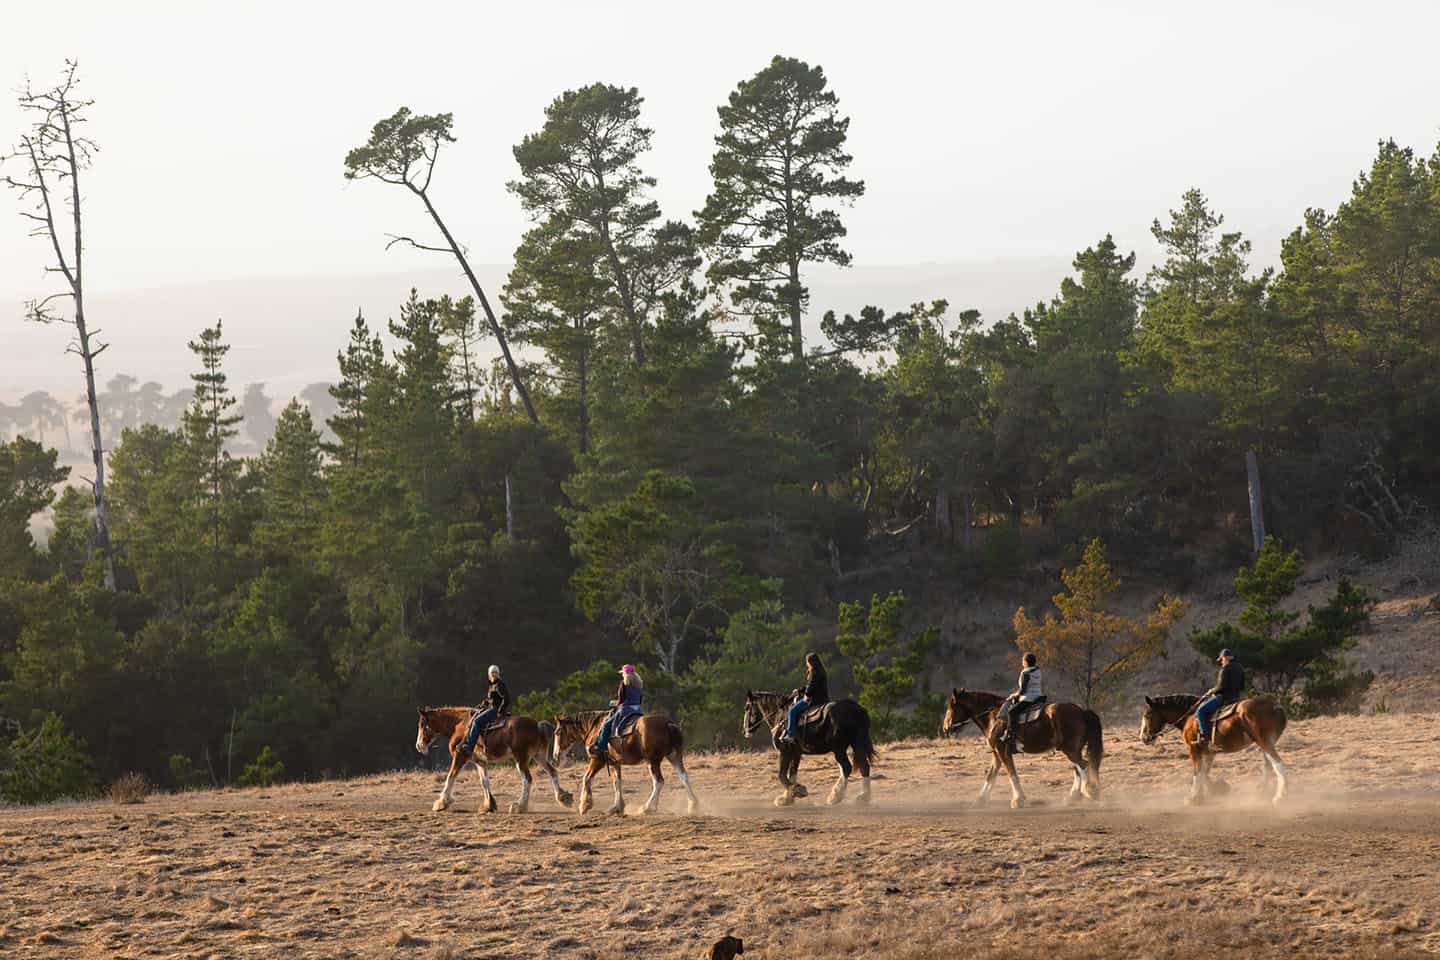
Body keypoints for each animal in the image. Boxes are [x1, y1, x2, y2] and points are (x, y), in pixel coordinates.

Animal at [414, 711, 570, 817]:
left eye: (422, 725)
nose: (419, 746)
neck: (460, 727)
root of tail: (537, 725)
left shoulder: (460, 756)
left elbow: (450, 777)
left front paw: (441, 803)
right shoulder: (480, 761)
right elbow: (484, 782)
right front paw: (489, 805)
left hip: (520, 759)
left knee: (527, 779)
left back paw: (520, 806)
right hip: (539, 756)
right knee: (552, 772)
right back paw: (563, 797)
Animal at [550, 711, 696, 817]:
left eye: (557, 732)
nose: (556, 755)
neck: (595, 728)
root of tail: (668, 724)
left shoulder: (597, 760)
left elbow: (586, 778)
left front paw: (584, 806)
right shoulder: (614, 763)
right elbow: (617, 782)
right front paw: (617, 807)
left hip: (653, 761)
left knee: (658, 782)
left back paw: (647, 807)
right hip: (674, 756)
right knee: (684, 777)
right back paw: (694, 805)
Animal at [944, 687, 1100, 805]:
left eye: (952, 707)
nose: (946, 727)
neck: (993, 717)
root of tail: (1082, 711)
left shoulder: (1003, 752)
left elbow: (1012, 773)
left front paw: (1018, 800)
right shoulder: (996, 754)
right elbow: (991, 775)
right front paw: (980, 799)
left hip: (1070, 750)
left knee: (1083, 765)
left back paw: (1088, 791)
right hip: (1073, 750)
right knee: (1078, 768)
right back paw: (1073, 796)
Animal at [1140, 693, 1290, 805]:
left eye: (1147, 715)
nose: (1143, 737)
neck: (1190, 716)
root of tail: (1275, 707)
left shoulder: (1193, 749)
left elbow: (1197, 772)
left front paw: (1193, 798)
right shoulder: (1209, 752)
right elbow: (1204, 772)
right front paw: (1214, 791)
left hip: (1265, 742)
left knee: (1278, 765)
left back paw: (1280, 797)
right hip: (1267, 743)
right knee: (1269, 766)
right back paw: (1261, 793)